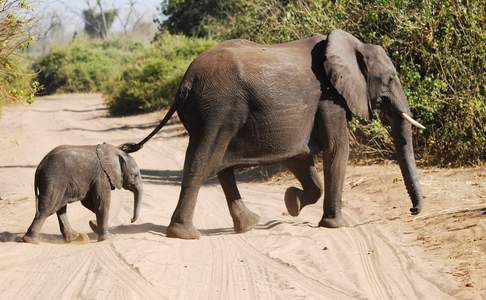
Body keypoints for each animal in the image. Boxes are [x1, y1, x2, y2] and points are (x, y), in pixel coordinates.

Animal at [122, 28, 426, 239]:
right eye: (390, 79)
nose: (413, 211)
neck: (352, 45)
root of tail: (185, 81)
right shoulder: (330, 98)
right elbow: (337, 149)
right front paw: (336, 226)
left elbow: (299, 156)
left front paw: (292, 203)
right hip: (217, 110)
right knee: (203, 160)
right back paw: (185, 235)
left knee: (221, 165)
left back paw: (249, 225)